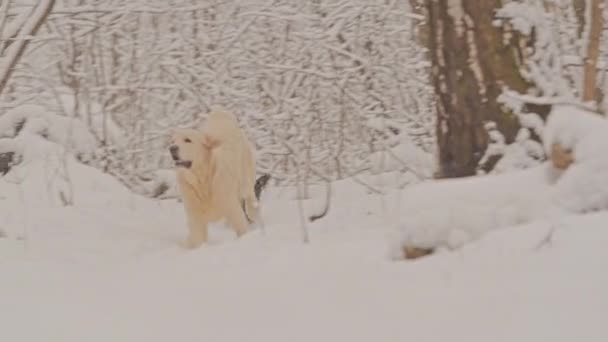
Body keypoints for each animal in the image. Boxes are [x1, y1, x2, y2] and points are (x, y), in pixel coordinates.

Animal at [169, 109, 262, 248]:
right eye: (172, 141)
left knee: (251, 202)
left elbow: (241, 228)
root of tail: (221, 113)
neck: (202, 179)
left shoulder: (232, 208)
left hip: (246, 181)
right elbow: (196, 238)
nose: (172, 149)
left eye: (188, 140)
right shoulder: (195, 216)